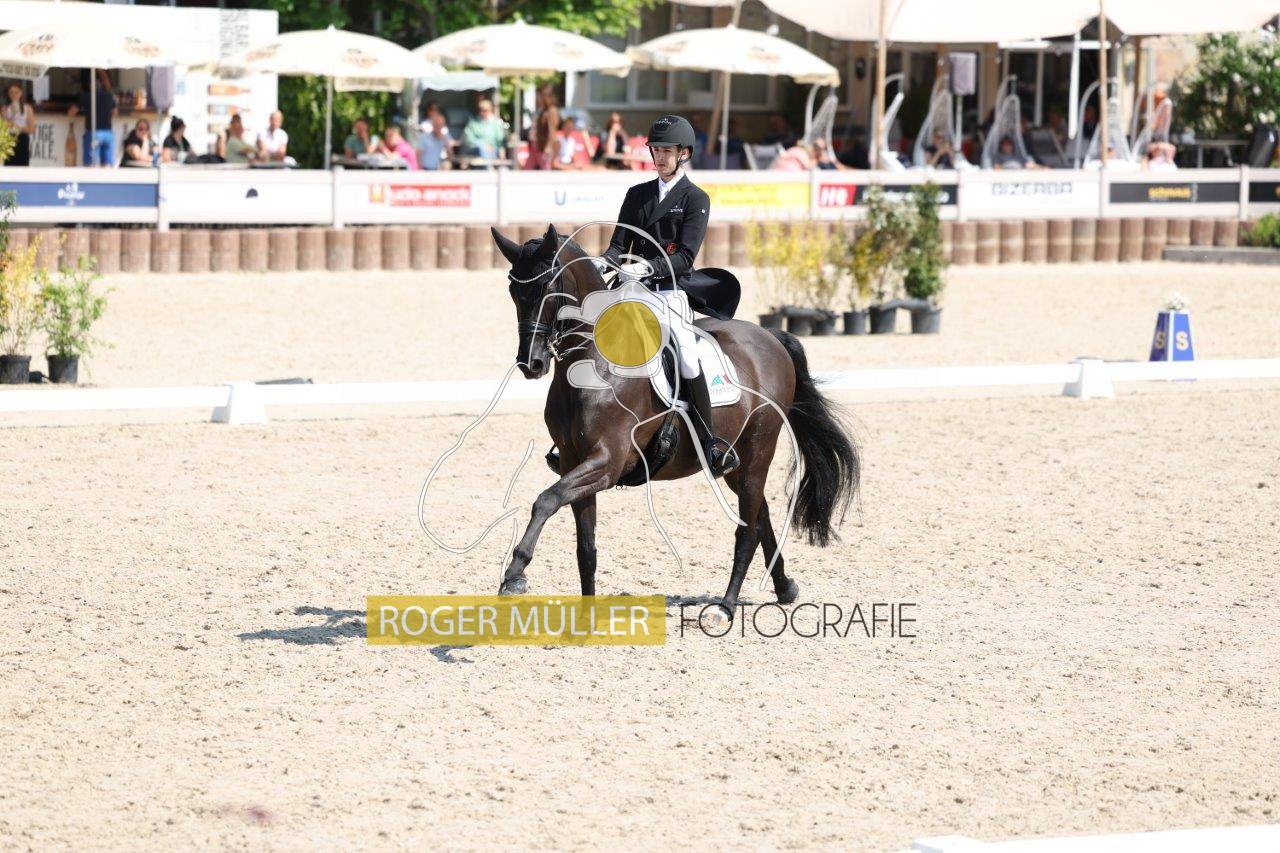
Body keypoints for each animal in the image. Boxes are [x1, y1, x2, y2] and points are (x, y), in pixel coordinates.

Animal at [490, 223, 859, 626]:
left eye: (549, 288)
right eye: (514, 291)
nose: (532, 364)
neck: (592, 365)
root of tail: (770, 337)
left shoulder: (606, 463)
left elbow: (545, 500)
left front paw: (514, 576)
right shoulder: (575, 462)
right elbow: (584, 547)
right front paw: (585, 620)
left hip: (759, 450)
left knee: (747, 530)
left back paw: (725, 608)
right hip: (738, 464)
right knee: (759, 515)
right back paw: (785, 587)